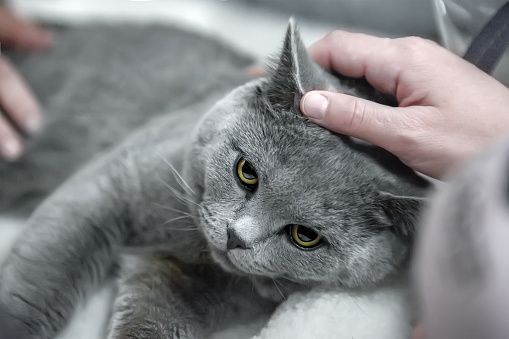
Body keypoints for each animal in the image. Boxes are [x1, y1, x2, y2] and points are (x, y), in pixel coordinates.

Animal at [0, 21, 428, 339]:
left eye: (305, 236)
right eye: (246, 172)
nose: (236, 236)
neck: (189, 244)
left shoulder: (179, 288)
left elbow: (152, 323)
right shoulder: (104, 188)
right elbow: (39, 285)